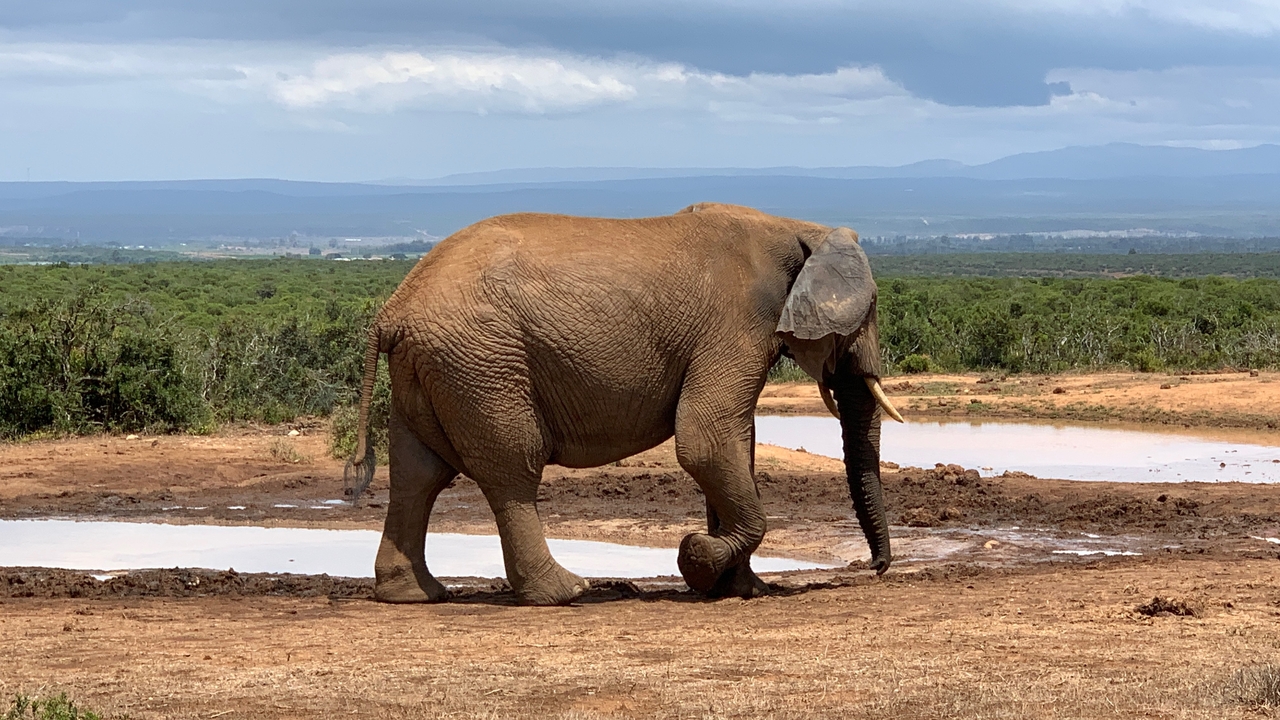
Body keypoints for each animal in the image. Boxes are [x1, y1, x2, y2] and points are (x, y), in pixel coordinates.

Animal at [346, 202, 903, 606]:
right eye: (871, 309)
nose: (873, 568)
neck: (798, 228)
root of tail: (393, 310)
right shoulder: (735, 327)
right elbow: (706, 441)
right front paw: (698, 559)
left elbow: (732, 446)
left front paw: (740, 589)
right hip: (484, 363)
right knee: (512, 471)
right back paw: (565, 593)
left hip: (433, 368)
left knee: (418, 476)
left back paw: (413, 595)